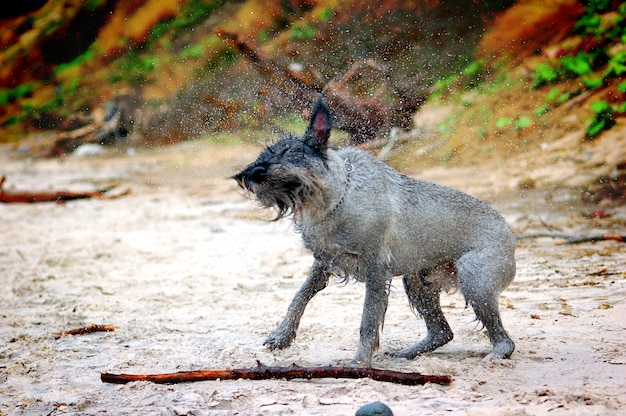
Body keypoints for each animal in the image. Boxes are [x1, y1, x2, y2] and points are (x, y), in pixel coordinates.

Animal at [232, 98, 516, 368]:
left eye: (288, 152)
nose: (249, 174)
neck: (333, 199)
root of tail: (511, 235)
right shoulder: (323, 263)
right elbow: (299, 297)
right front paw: (281, 335)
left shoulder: (376, 270)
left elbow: (367, 321)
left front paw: (360, 362)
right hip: (417, 282)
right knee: (442, 331)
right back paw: (406, 353)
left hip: (475, 283)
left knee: (504, 340)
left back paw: (495, 355)